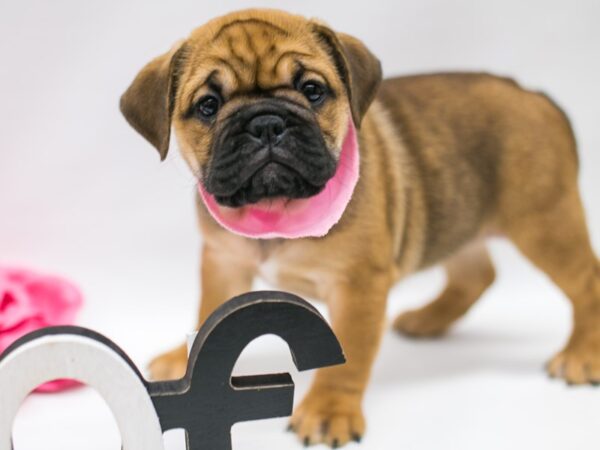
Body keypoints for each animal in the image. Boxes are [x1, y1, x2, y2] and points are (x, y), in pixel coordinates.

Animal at [120, 7, 600, 446]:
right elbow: (208, 313)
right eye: (208, 105)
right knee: (477, 274)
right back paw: (428, 319)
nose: (267, 123)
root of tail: (534, 94)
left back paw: (582, 356)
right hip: (462, 218)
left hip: (545, 222)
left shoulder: (358, 285)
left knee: (585, 281)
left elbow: (346, 358)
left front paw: (329, 410)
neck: (276, 211)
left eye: (312, 90)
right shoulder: (223, 261)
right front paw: (183, 359)